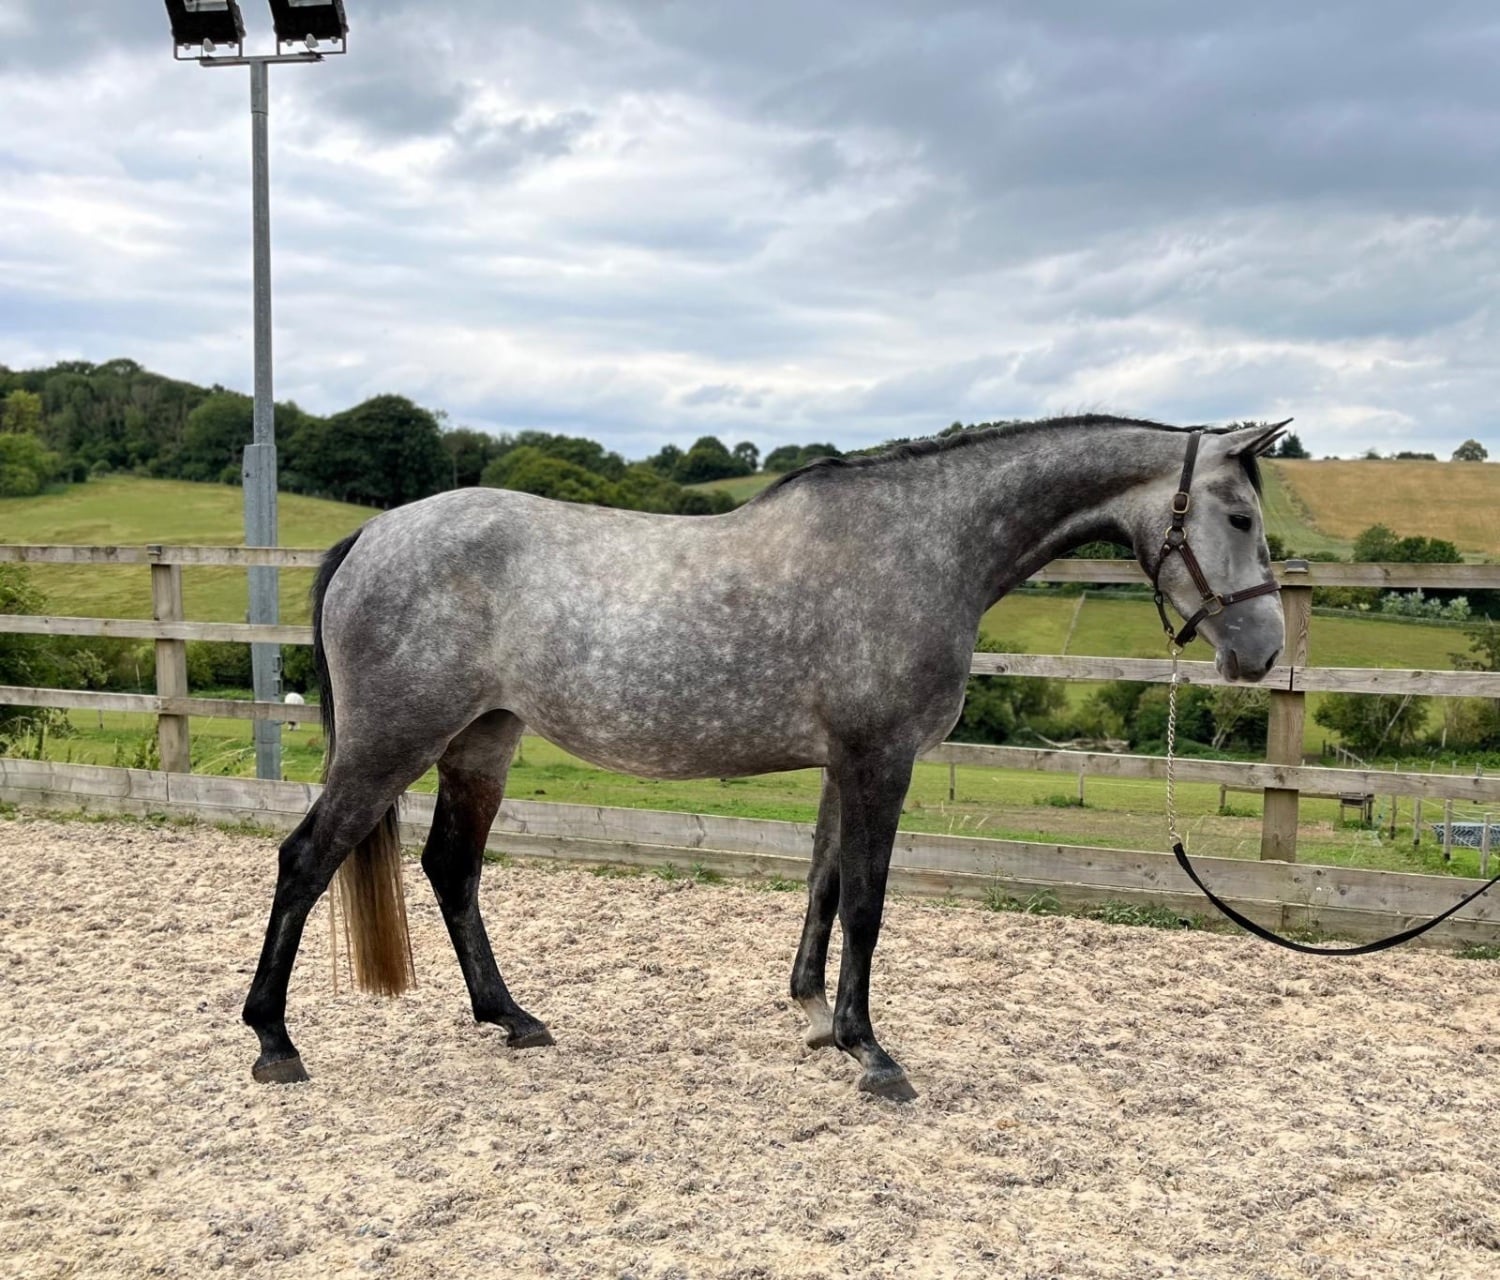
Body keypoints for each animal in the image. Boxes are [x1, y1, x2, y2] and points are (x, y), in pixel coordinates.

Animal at [242, 415, 1287, 1100]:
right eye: (1240, 518)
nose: (1264, 652)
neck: (923, 545)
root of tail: (375, 532)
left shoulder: (842, 763)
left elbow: (822, 883)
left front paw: (817, 1019)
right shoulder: (879, 759)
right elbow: (866, 900)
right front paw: (873, 1054)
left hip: (481, 743)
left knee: (451, 868)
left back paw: (513, 1018)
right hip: (390, 744)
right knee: (306, 860)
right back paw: (275, 1042)